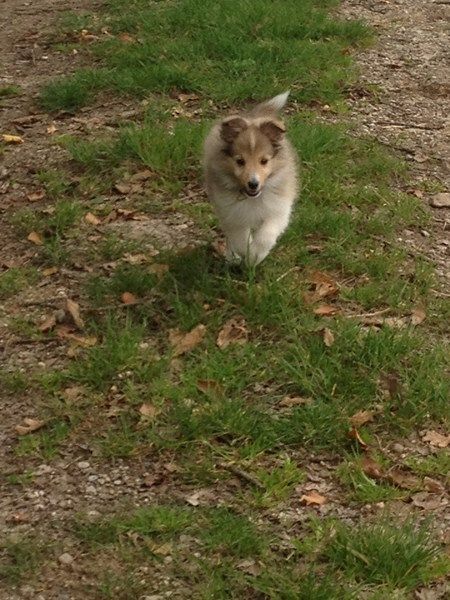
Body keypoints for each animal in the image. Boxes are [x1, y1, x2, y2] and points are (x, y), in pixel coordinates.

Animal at [204, 91, 298, 264]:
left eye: (264, 161)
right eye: (240, 161)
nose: (253, 184)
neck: (253, 198)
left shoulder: (278, 209)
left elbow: (266, 235)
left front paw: (255, 256)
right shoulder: (232, 213)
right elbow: (240, 238)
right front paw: (246, 255)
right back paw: (232, 257)